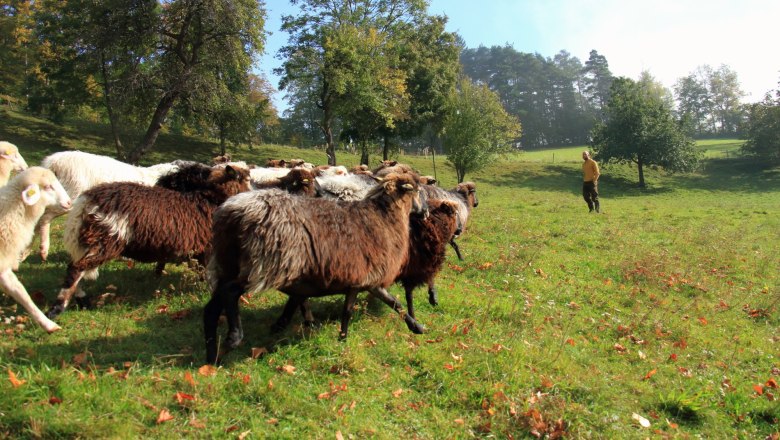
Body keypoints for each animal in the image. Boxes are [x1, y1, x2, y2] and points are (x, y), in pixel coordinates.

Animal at [48, 163, 250, 318]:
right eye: (246, 179)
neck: (212, 200)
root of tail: (86, 201)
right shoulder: (208, 249)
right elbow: (211, 275)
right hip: (105, 240)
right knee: (76, 269)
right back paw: (57, 309)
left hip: (88, 242)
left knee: (75, 267)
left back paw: (82, 301)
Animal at [203, 170, 426, 362]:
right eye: (418, 191)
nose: (426, 212)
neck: (385, 219)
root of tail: (232, 212)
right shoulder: (361, 279)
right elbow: (349, 311)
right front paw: (343, 339)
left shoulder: (368, 280)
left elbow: (394, 303)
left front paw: (417, 327)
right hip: (262, 265)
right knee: (230, 292)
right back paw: (234, 336)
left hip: (228, 264)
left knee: (212, 308)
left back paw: (212, 356)